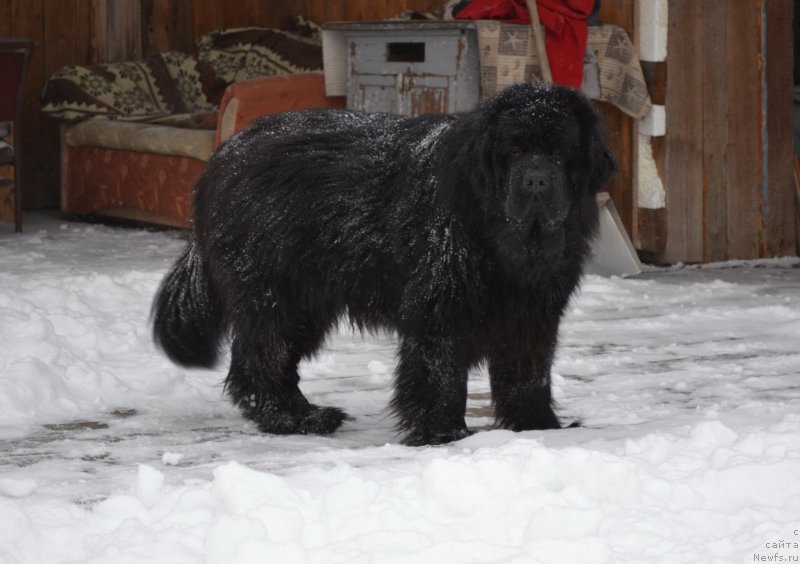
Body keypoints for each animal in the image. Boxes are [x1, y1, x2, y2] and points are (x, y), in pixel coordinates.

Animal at [153, 83, 616, 446]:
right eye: (514, 150)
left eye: (559, 153)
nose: (536, 178)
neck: (503, 236)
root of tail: (223, 155)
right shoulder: (441, 305)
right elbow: (441, 374)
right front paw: (442, 434)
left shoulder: (533, 311)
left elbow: (528, 374)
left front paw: (539, 427)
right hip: (279, 294)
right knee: (261, 360)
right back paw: (293, 420)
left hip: (307, 303)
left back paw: (305, 414)